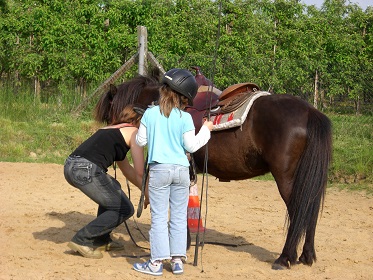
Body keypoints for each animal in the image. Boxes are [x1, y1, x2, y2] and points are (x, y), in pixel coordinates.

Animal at [93, 69, 332, 270]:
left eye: (109, 114)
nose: (113, 130)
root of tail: (310, 112)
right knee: (310, 212)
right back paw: (307, 256)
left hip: (287, 178)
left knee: (299, 211)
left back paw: (285, 258)